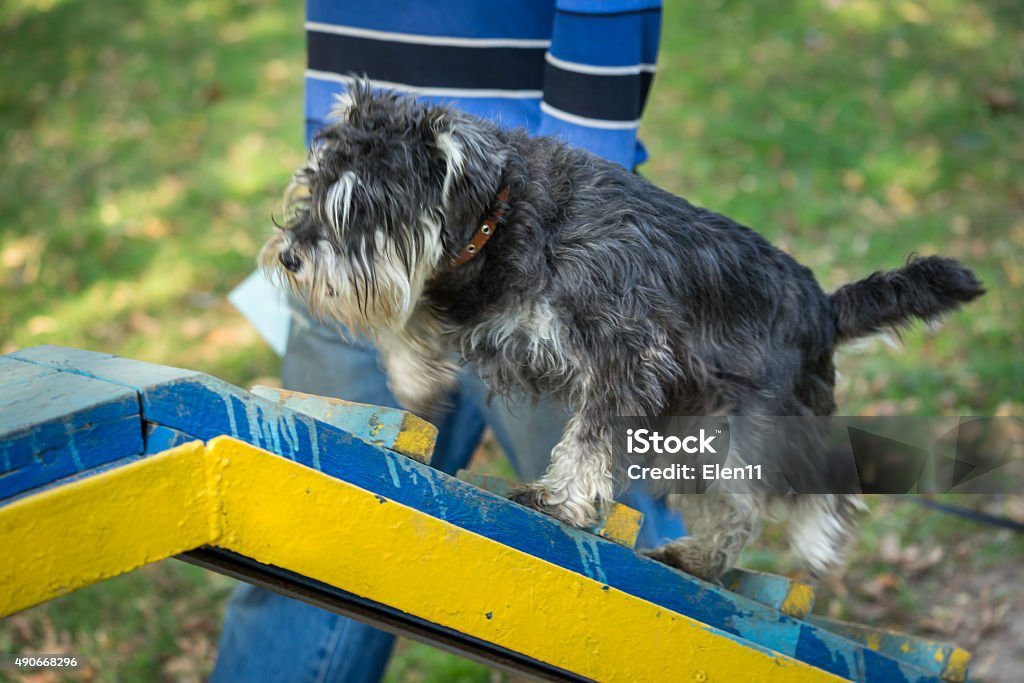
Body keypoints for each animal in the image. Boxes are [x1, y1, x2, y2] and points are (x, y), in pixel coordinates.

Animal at [258, 81, 983, 581]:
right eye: (314, 185)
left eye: (361, 206)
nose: (291, 256)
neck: (504, 214)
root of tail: (823, 307)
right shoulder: (476, 305)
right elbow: (415, 323)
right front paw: (414, 379)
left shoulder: (625, 354)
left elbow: (588, 439)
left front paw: (561, 499)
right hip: (692, 437)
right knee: (735, 507)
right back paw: (700, 553)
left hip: (755, 424)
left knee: (792, 489)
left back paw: (802, 539)